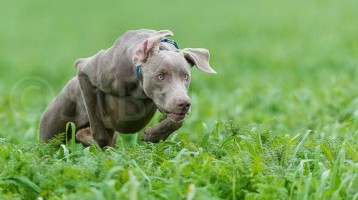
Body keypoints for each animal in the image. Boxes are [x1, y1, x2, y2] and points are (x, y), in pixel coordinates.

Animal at [40, 28, 217, 147]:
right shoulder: (84, 70)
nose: (184, 104)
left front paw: (153, 135)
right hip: (52, 130)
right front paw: (95, 139)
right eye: (160, 76)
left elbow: (176, 121)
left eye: (185, 76)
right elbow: (97, 122)